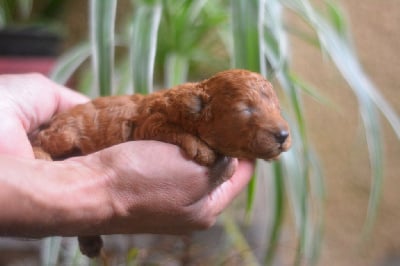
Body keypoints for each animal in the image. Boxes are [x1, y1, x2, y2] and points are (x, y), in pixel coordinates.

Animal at [30, 68, 290, 258]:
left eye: (277, 108)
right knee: (41, 140)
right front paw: (200, 148)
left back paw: (91, 244)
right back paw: (41, 155)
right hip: (65, 133)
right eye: (245, 110)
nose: (283, 135)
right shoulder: (147, 124)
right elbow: (169, 130)